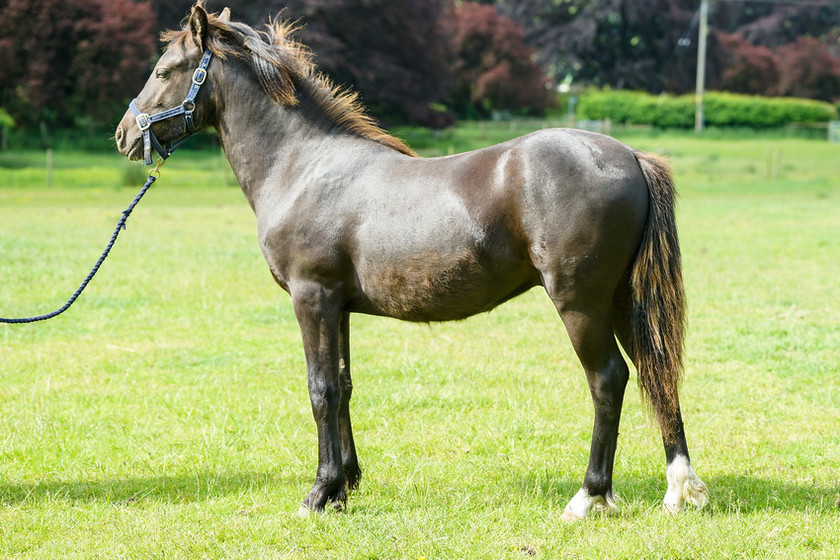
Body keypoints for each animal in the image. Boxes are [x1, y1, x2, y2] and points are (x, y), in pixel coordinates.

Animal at [116, 3, 708, 520]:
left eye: (165, 69)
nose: (122, 134)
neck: (303, 166)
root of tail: (630, 156)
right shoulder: (339, 307)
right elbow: (343, 387)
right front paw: (344, 487)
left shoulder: (313, 298)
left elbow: (320, 389)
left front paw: (318, 494)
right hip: (624, 300)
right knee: (657, 372)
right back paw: (681, 490)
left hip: (581, 303)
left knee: (608, 380)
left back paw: (589, 497)